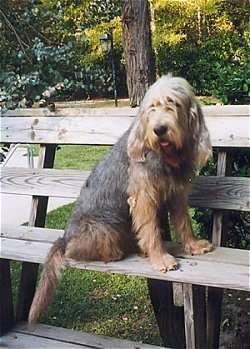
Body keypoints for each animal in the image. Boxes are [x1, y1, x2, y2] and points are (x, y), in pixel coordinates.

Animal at [28, 75, 213, 322]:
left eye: (173, 103)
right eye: (152, 107)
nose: (159, 129)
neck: (166, 155)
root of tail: (64, 238)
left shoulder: (177, 195)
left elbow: (184, 224)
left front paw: (193, 245)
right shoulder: (143, 198)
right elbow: (151, 230)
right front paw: (160, 258)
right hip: (103, 231)